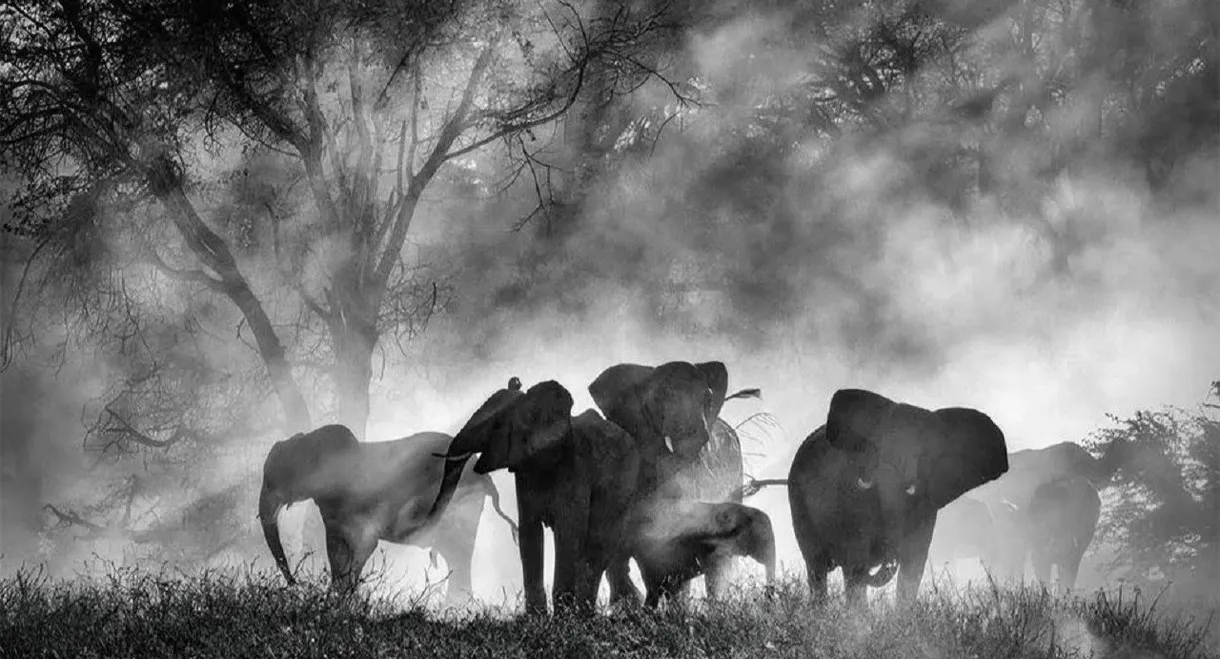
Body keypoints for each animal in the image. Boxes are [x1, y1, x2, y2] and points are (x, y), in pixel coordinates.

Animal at [258, 424, 518, 597]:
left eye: (275, 479)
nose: (296, 584)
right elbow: (336, 549)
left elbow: (363, 544)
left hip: (462, 505)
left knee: (459, 555)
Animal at [427, 378, 640, 615]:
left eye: (497, 425)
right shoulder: (524, 470)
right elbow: (529, 532)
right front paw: (535, 617)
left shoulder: (575, 467)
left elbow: (568, 532)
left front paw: (562, 618)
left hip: (624, 487)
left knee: (597, 547)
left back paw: (586, 614)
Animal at [788, 388, 1010, 606]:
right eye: (877, 447)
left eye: (923, 455)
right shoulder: (850, 495)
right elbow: (856, 560)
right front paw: (859, 617)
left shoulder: (926, 506)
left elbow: (913, 566)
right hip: (798, 501)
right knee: (816, 566)